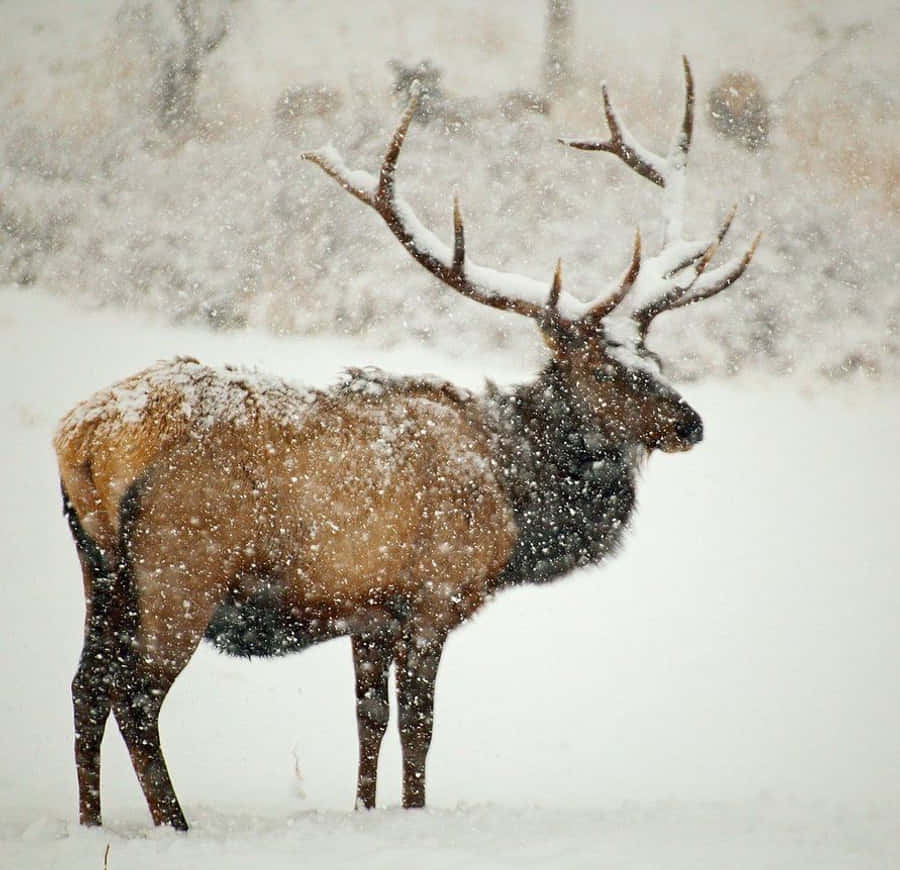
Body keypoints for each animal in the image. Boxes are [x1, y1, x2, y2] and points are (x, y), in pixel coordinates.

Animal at [55, 58, 758, 831]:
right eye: (604, 369)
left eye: (654, 358)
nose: (691, 423)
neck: (515, 500)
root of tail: (85, 438)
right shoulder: (433, 594)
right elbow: (419, 725)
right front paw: (416, 814)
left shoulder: (368, 610)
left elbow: (369, 721)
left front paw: (365, 810)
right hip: (181, 568)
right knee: (135, 695)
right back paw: (175, 826)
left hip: (99, 568)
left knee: (85, 686)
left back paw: (90, 821)